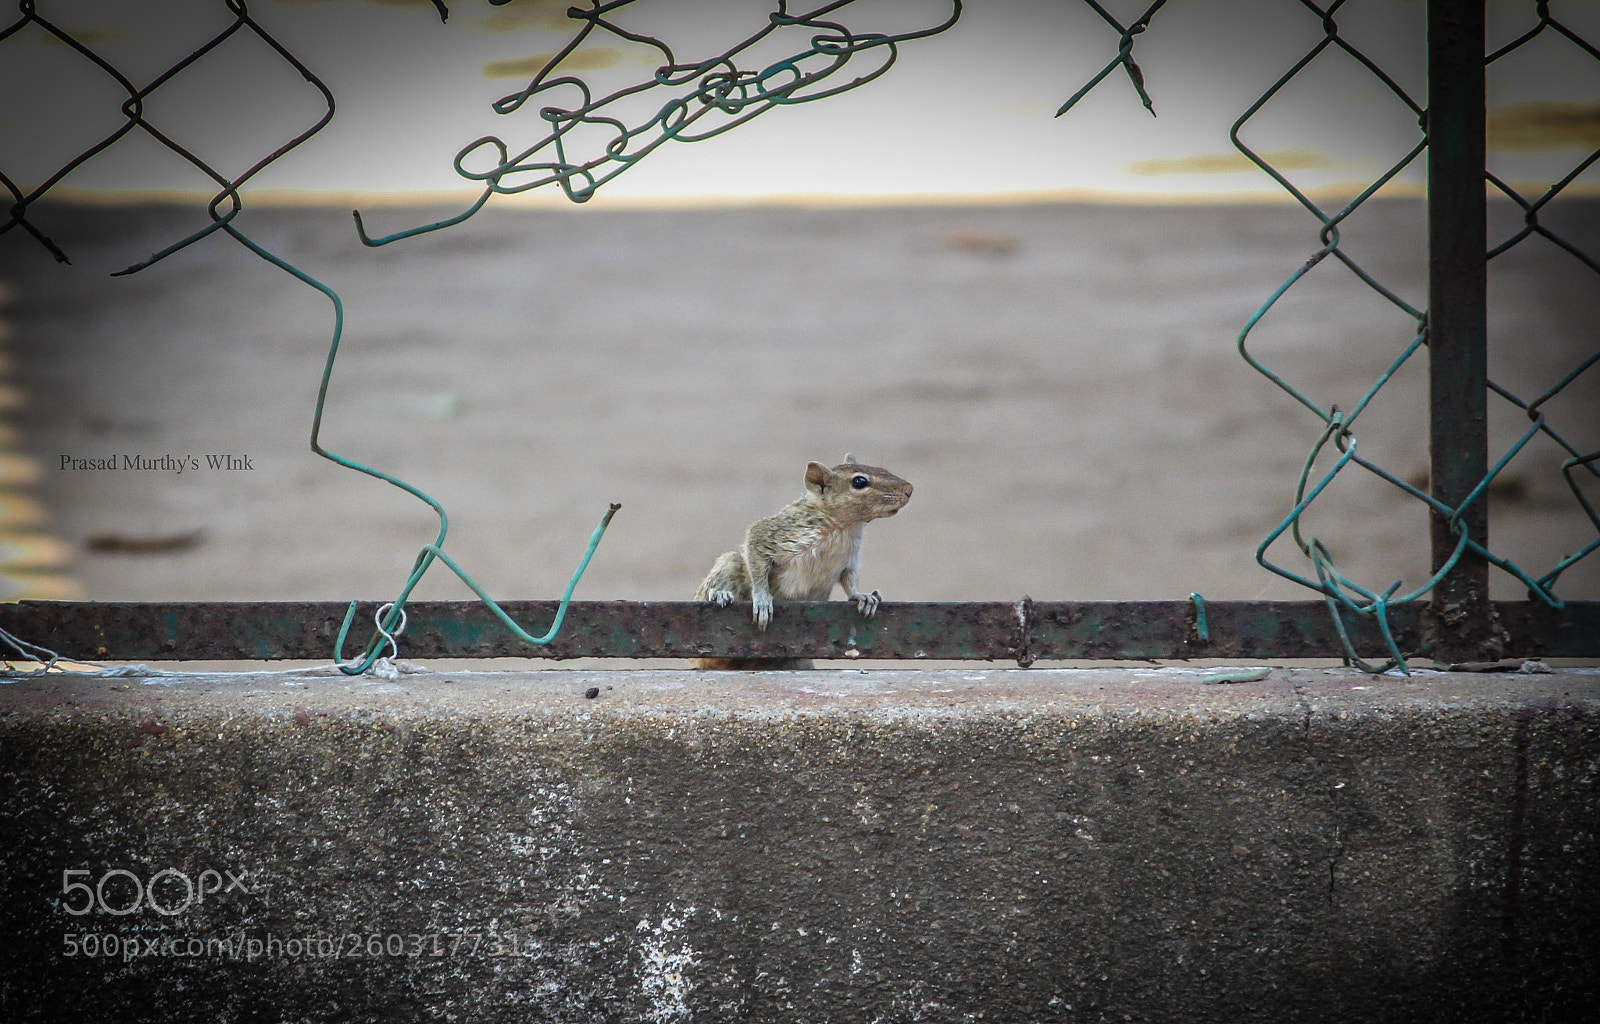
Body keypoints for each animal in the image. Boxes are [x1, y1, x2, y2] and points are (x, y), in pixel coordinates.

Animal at [692, 454, 912, 670]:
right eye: (859, 482)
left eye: (883, 469)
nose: (909, 489)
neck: (844, 528)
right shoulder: (779, 533)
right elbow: (757, 550)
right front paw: (762, 599)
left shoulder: (849, 560)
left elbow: (850, 580)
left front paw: (863, 597)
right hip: (729, 564)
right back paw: (719, 594)